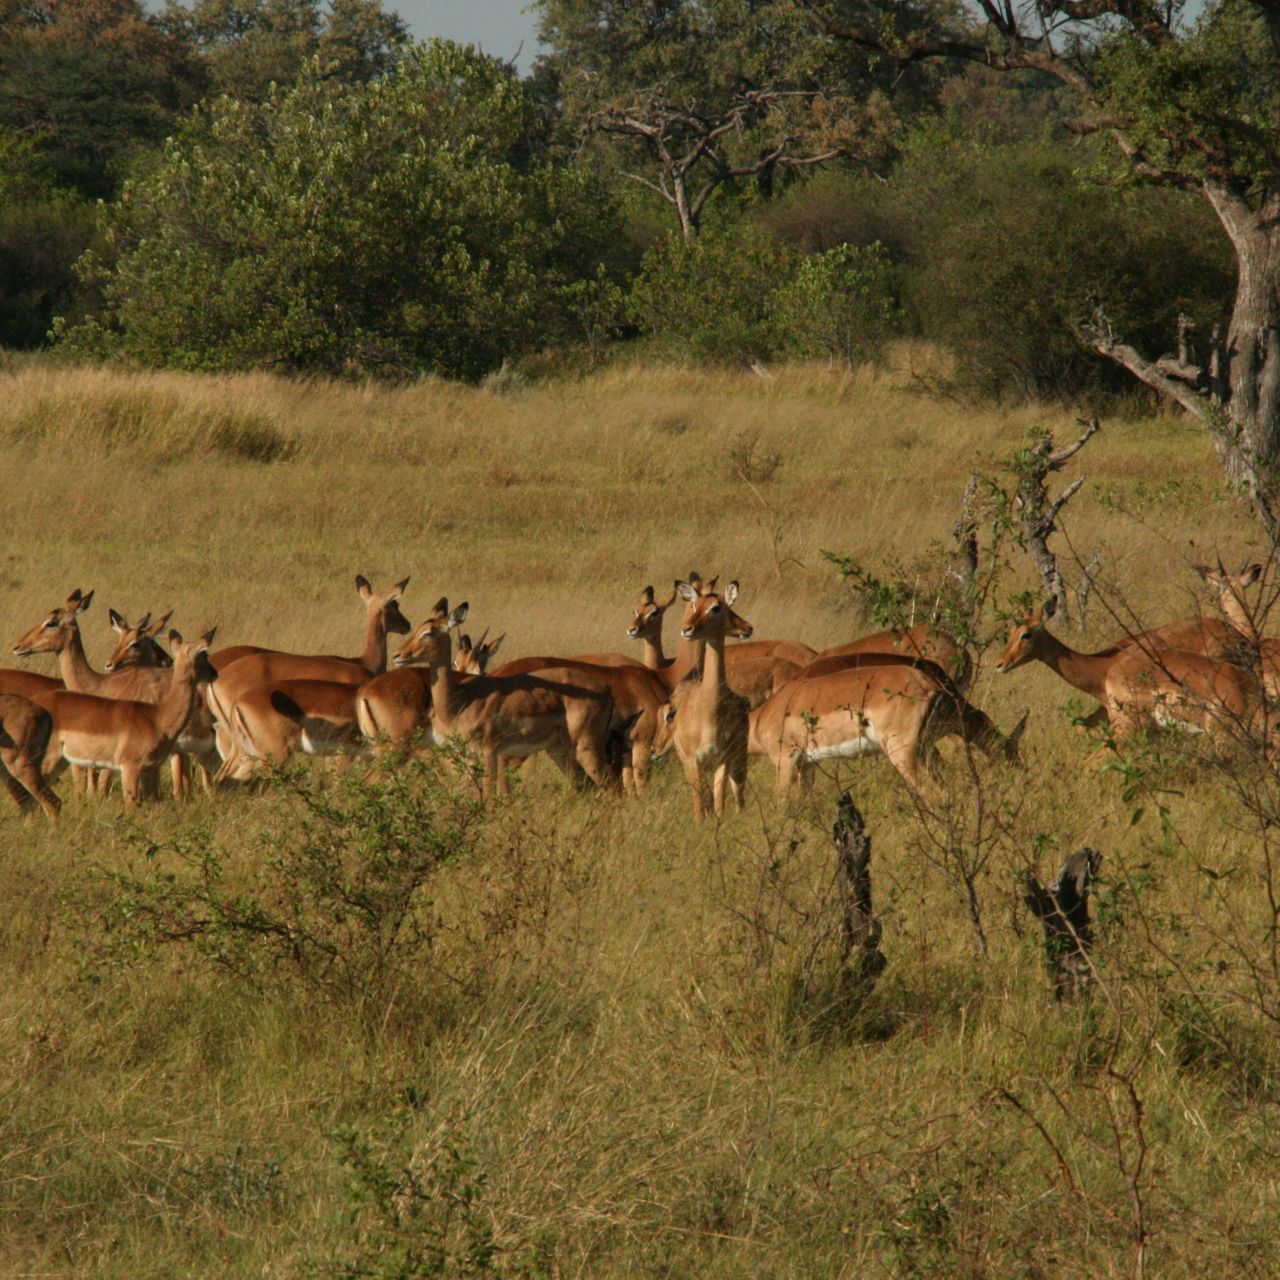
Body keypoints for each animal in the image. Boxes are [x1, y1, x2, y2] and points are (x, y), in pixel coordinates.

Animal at [665, 578, 752, 814]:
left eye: (715, 607)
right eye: (695, 606)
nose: (686, 629)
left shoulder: (722, 759)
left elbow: (719, 801)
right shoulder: (694, 761)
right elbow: (700, 806)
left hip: (739, 760)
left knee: (738, 796)